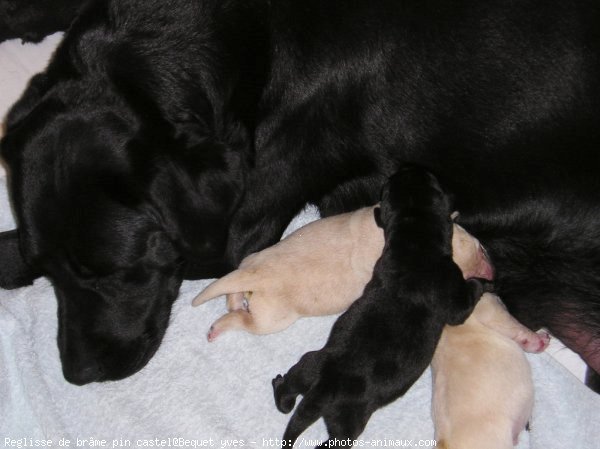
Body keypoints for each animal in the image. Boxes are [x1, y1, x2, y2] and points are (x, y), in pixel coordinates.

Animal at [192, 206, 492, 340]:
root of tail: (258, 273)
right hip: (271, 319)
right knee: (245, 322)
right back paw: (220, 326)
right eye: (480, 247)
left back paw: (234, 302)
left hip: (251, 260)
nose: (490, 271)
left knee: (233, 289)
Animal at [272, 168, 482, 444]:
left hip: (309, 365)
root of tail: (322, 389)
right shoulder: (451, 287)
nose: (407, 168)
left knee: (291, 385)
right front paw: (483, 283)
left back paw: (280, 388)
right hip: (349, 419)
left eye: (422, 180)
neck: (416, 241)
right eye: (434, 182)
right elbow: (463, 307)